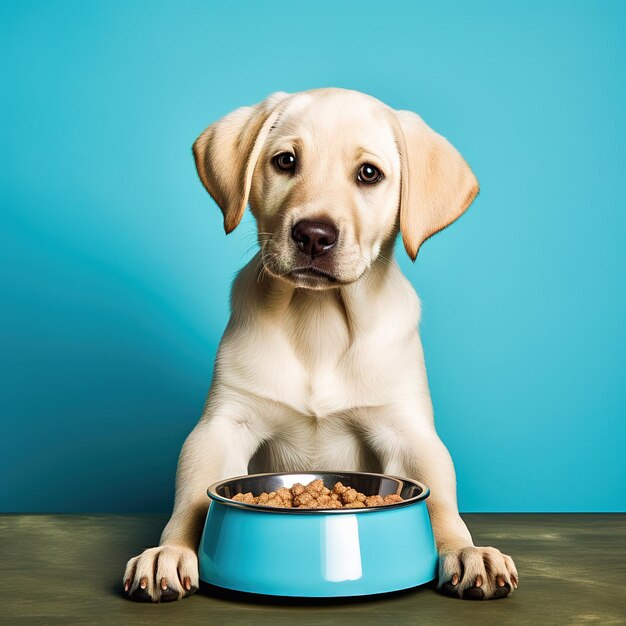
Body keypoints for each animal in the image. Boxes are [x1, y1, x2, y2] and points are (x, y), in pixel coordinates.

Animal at [122, 88, 516, 600]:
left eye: (369, 173)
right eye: (285, 161)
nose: (313, 235)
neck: (320, 318)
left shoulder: (409, 432)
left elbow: (441, 503)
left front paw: (466, 551)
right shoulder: (223, 425)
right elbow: (192, 495)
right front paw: (169, 551)